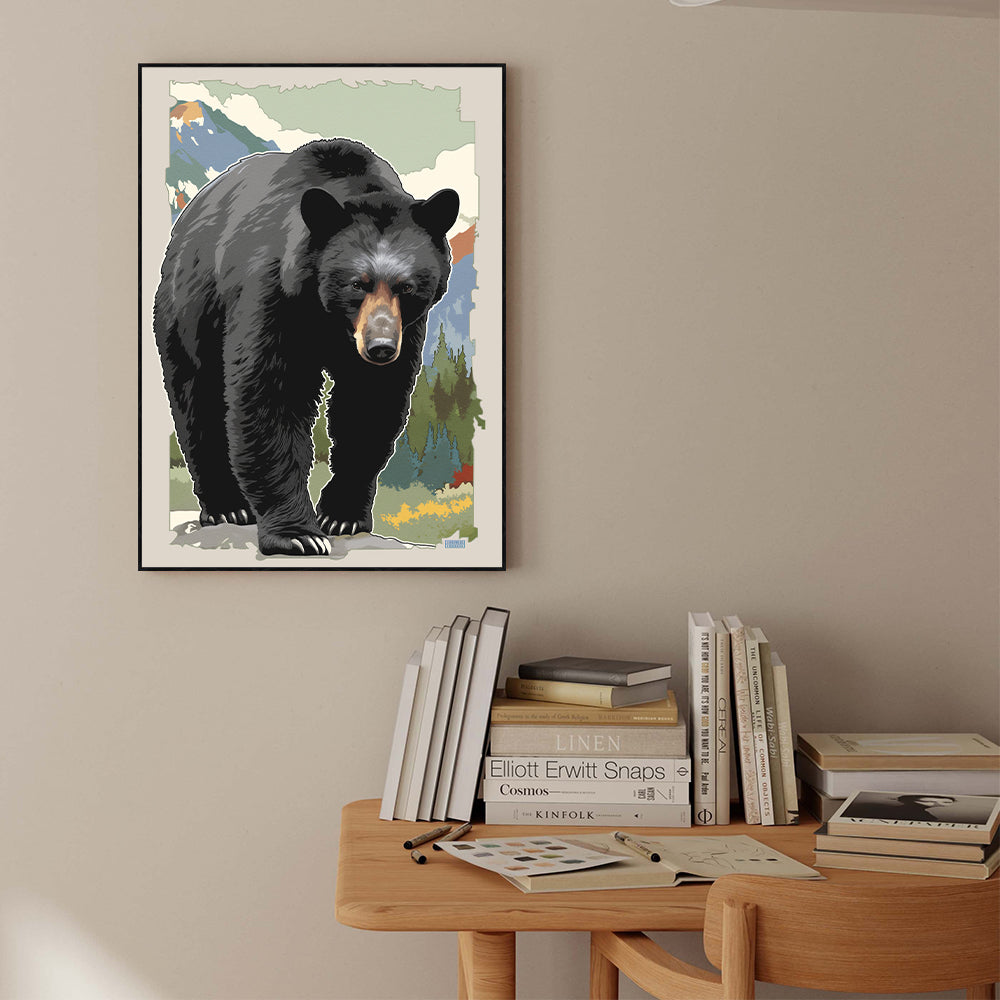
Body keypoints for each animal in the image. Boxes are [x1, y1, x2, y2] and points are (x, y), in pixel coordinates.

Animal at [154, 138, 459, 556]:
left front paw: (342, 514)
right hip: (190, 311)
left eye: (407, 286)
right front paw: (297, 533)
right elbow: (271, 394)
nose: (380, 347)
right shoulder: (274, 297)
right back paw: (226, 507)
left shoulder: (407, 328)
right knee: (197, 398)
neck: (329, 317)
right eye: (357, 283)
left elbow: (371, 402)